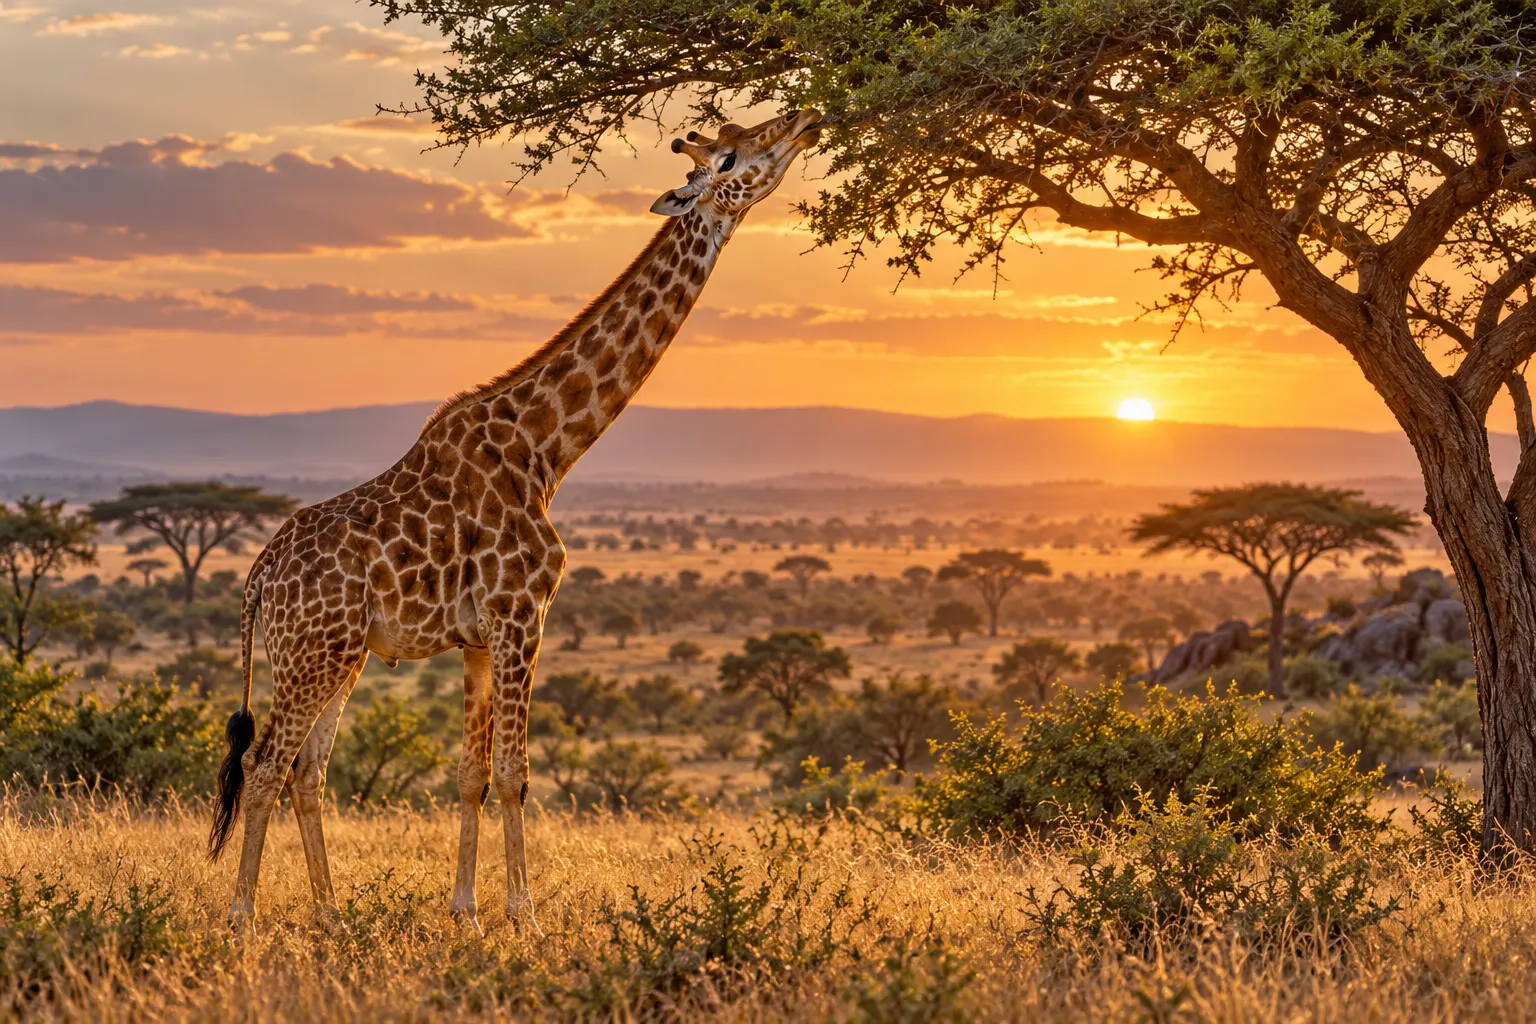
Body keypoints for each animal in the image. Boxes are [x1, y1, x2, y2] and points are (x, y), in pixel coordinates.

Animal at [206, 108, 824, 932]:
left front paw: (465, 910)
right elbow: (513, 772)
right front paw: (524, 916)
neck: (546, 450)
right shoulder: (521, 613)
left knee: (307, 769)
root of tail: (258, 578)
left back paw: (332, 916)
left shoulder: (475, 637)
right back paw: (242, 917)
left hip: (341, 654)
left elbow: (471, 772)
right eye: (727, 156)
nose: (805, 119)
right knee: (266, 762)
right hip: (314, 654)